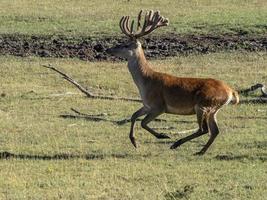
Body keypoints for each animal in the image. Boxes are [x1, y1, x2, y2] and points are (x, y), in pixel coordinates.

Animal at [105, 10, 240, 155]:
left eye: (125, 45)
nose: (108, 50)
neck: (145, 82)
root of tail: (231, 91)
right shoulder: (147, 105)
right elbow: (134, 116)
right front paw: (134, 141)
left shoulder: (159, 105)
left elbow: (143, 122)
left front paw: (162, 135)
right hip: (214, 109)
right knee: (215, 131)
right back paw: (200, 151)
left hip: (203, 104)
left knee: (203, 129)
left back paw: (176, 143)